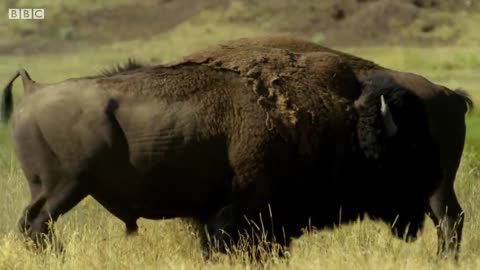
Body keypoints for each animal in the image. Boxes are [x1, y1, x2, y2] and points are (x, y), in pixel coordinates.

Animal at [1, 47, 442, 258]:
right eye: (408, 148)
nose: (419, 214)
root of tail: (33, 89)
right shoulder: (239, 214)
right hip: (64, 187)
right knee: (36, 224)